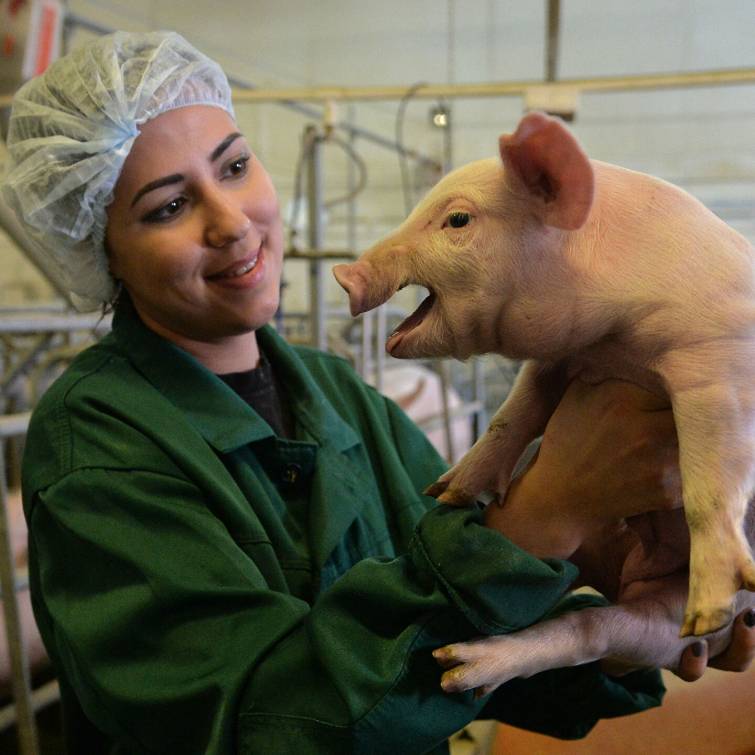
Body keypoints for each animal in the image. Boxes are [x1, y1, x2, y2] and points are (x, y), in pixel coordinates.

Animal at [336, 110, 755, 684]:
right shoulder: (560, 358)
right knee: (588, 630)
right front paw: (447, 492)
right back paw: (458, 668)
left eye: (458, 220)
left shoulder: (716, 365)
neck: (615, 343)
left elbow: (709, 478)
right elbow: (513, 415)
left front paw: (709, 608)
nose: (344, 274)